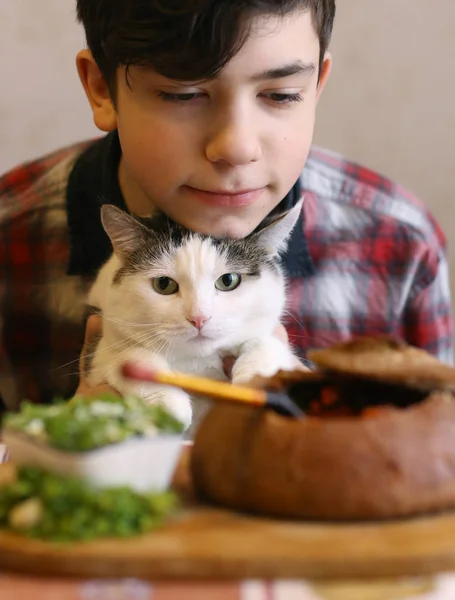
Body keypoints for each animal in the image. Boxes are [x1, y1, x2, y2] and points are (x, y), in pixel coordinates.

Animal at [85, 200, 302, 432]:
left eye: (228, 280)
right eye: (163, 284)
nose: (199, 318)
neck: (197, 363)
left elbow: (268, 343)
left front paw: (254, 380)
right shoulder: (100, 349)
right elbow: (127, 353)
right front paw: (168, 403)